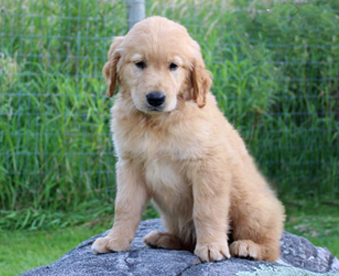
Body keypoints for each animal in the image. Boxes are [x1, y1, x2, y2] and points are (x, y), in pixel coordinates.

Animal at [91, 16, 286, 262]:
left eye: (173, 66)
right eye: (139, 63)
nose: (156, 98)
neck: (157, 122)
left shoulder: (207, 165)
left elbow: (206, 210)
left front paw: (211, 246)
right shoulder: (129, 164)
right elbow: (125, 207)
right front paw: (114, 241)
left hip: (251, 204)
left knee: (271, 247)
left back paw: (248, 247)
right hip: (172, 216)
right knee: (186, 239)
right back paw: (164, 238)